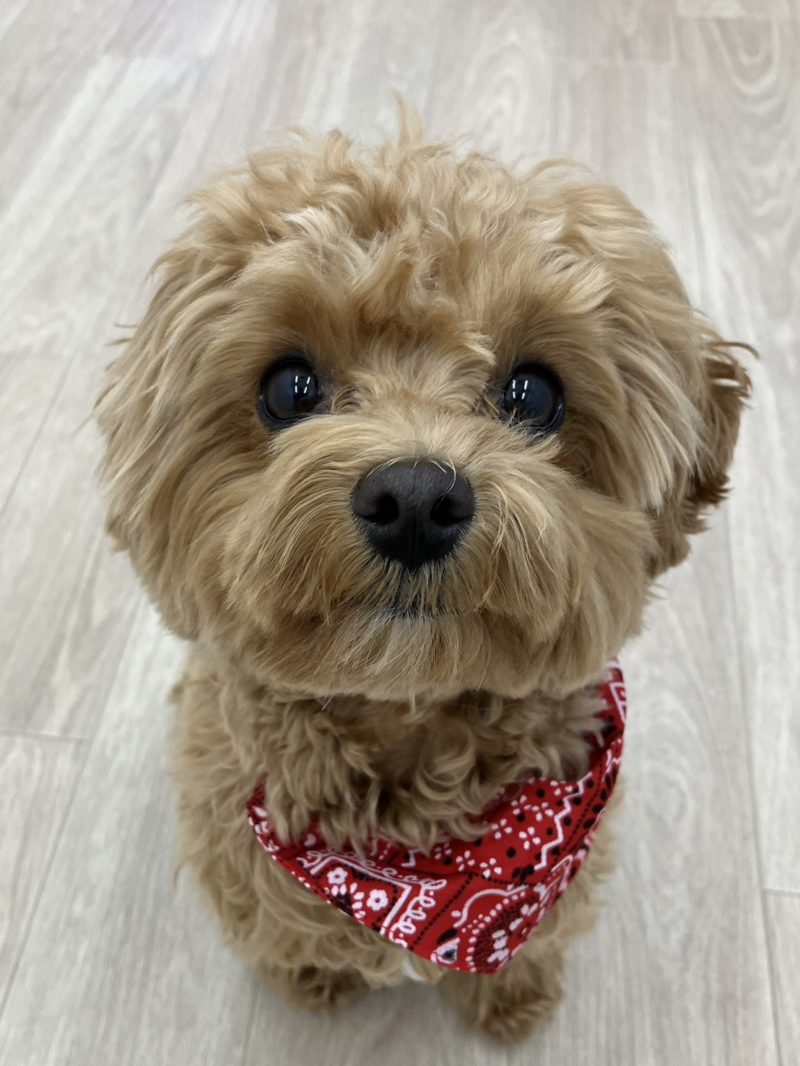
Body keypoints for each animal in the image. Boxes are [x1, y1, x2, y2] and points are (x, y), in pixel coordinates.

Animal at [96, 115, 750, 1043]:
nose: (413, 499)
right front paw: (316, 982)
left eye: (534, 394)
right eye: (289, 388)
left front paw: (513, 1001)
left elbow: (533, 950)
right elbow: (289, 939)